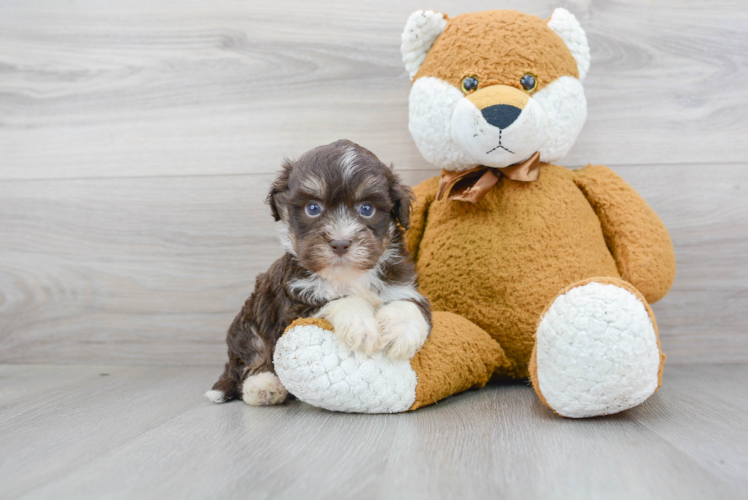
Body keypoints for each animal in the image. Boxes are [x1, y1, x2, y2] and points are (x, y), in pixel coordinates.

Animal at [207, 140, 436, 406]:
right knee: (251, 357)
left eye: (367, 209)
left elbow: (408, 304)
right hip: (248, 322)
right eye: (313, 208)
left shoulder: (402, 284)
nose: (340, 243)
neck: (348, 275)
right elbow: (341, 300)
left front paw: (400, 332)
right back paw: (263, 387)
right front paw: (361, 326)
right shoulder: (295, 303)